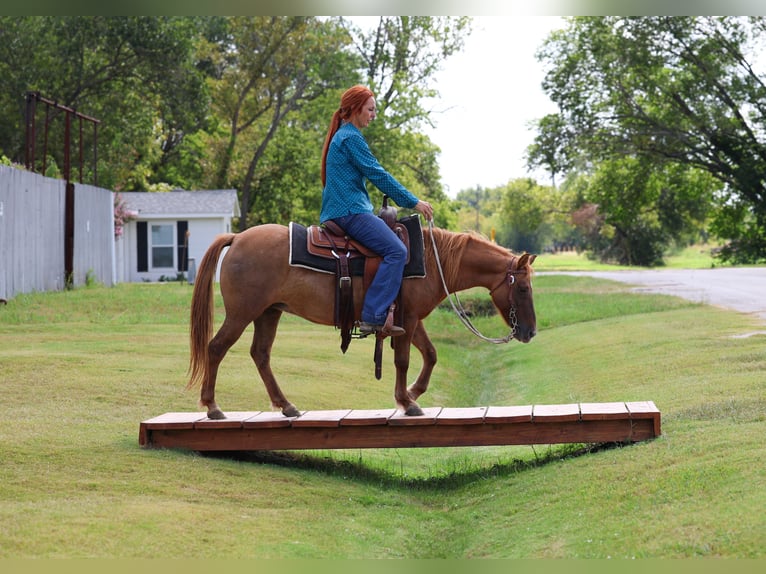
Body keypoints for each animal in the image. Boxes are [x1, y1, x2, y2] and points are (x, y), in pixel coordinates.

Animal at [187, 223, 537, 419]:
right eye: (523, 287)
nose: (530, 332)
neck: (430, 260)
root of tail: (237, 238)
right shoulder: (408, 319)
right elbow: (403, 360)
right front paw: (406, 401)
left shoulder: (409, 319)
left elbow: (431, 354)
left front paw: (414, 392)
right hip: (242, 313)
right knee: (216, 348)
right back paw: (212, 406)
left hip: (268, 312)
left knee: (260, 354)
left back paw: (286, 405)